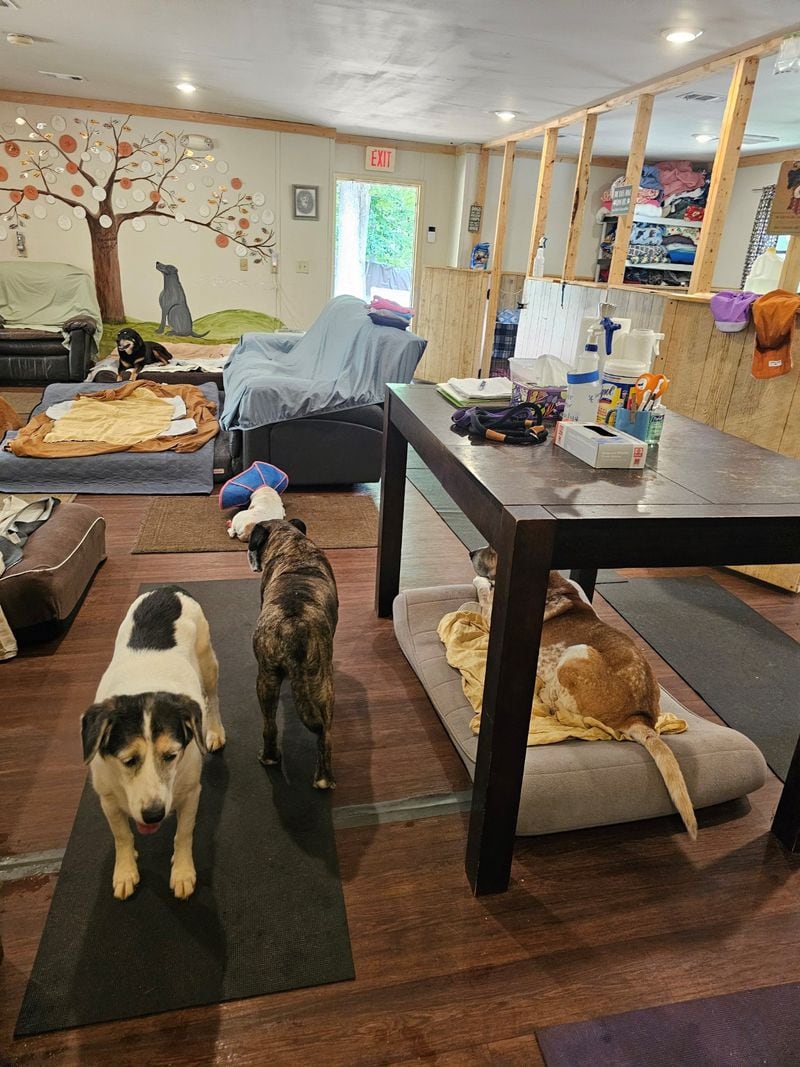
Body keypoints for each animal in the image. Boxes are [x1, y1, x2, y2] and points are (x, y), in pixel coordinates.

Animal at [81, 584, 224, 900]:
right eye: (128, 760)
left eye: (171, 755)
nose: (154, 814)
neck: (143, 688)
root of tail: (169, 588)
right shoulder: (107, 799)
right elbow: (121, 835)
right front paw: (125, 870)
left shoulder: (191, 793)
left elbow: (184, 834)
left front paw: (182, 872)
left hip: (208, 661)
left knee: (212, 697)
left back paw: (215, 730)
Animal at [249, 520, 339, 789]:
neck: (292, 544)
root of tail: (292, 630)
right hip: (322, 687)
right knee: (325, 736)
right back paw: (324, 780)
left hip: (266, 680)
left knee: (270, 726)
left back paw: (269, 758)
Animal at [394, 588, 772, 836]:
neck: (564, 597)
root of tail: (638, 718)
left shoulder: (496, 618)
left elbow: (484, 597)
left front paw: (481, 583)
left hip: (577, 654)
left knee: (560, 706)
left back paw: (545, 695)